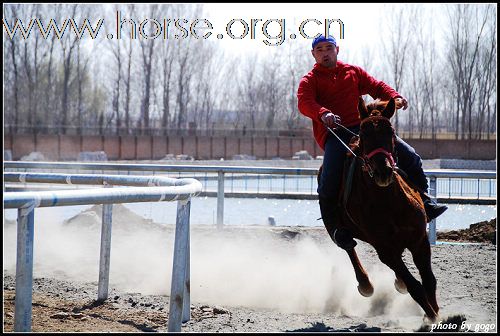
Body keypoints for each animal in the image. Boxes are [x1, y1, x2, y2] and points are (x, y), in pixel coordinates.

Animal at [336, 96, 438, 320]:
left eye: (390, 132)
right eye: (363, 134)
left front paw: (435, 312)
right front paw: (433, 317)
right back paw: (366, 284)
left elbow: (429, 281)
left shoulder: (420, 240)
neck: (388, 202)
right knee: (348, 247)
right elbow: (415, 287)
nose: (383, 171)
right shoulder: (385, 249)